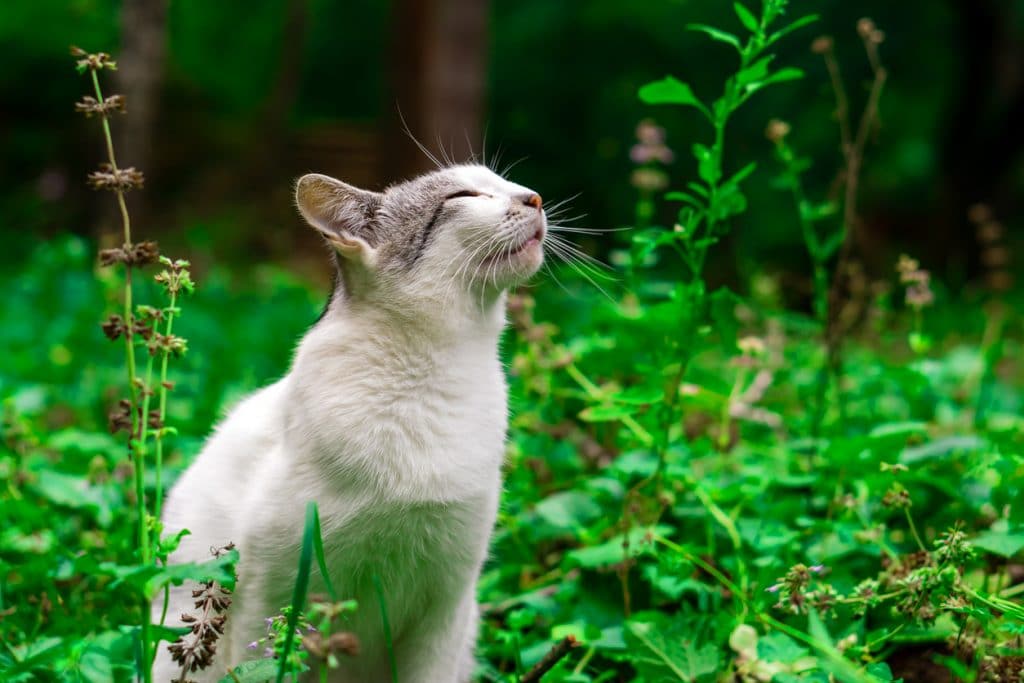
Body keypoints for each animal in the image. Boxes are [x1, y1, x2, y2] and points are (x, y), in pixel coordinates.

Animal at [150, 165, 544, 683]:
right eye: (465, 195)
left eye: (504, 182)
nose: (535, 198)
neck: (431, 378)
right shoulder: (270, 598)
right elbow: (264, 664)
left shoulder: (447, 606)